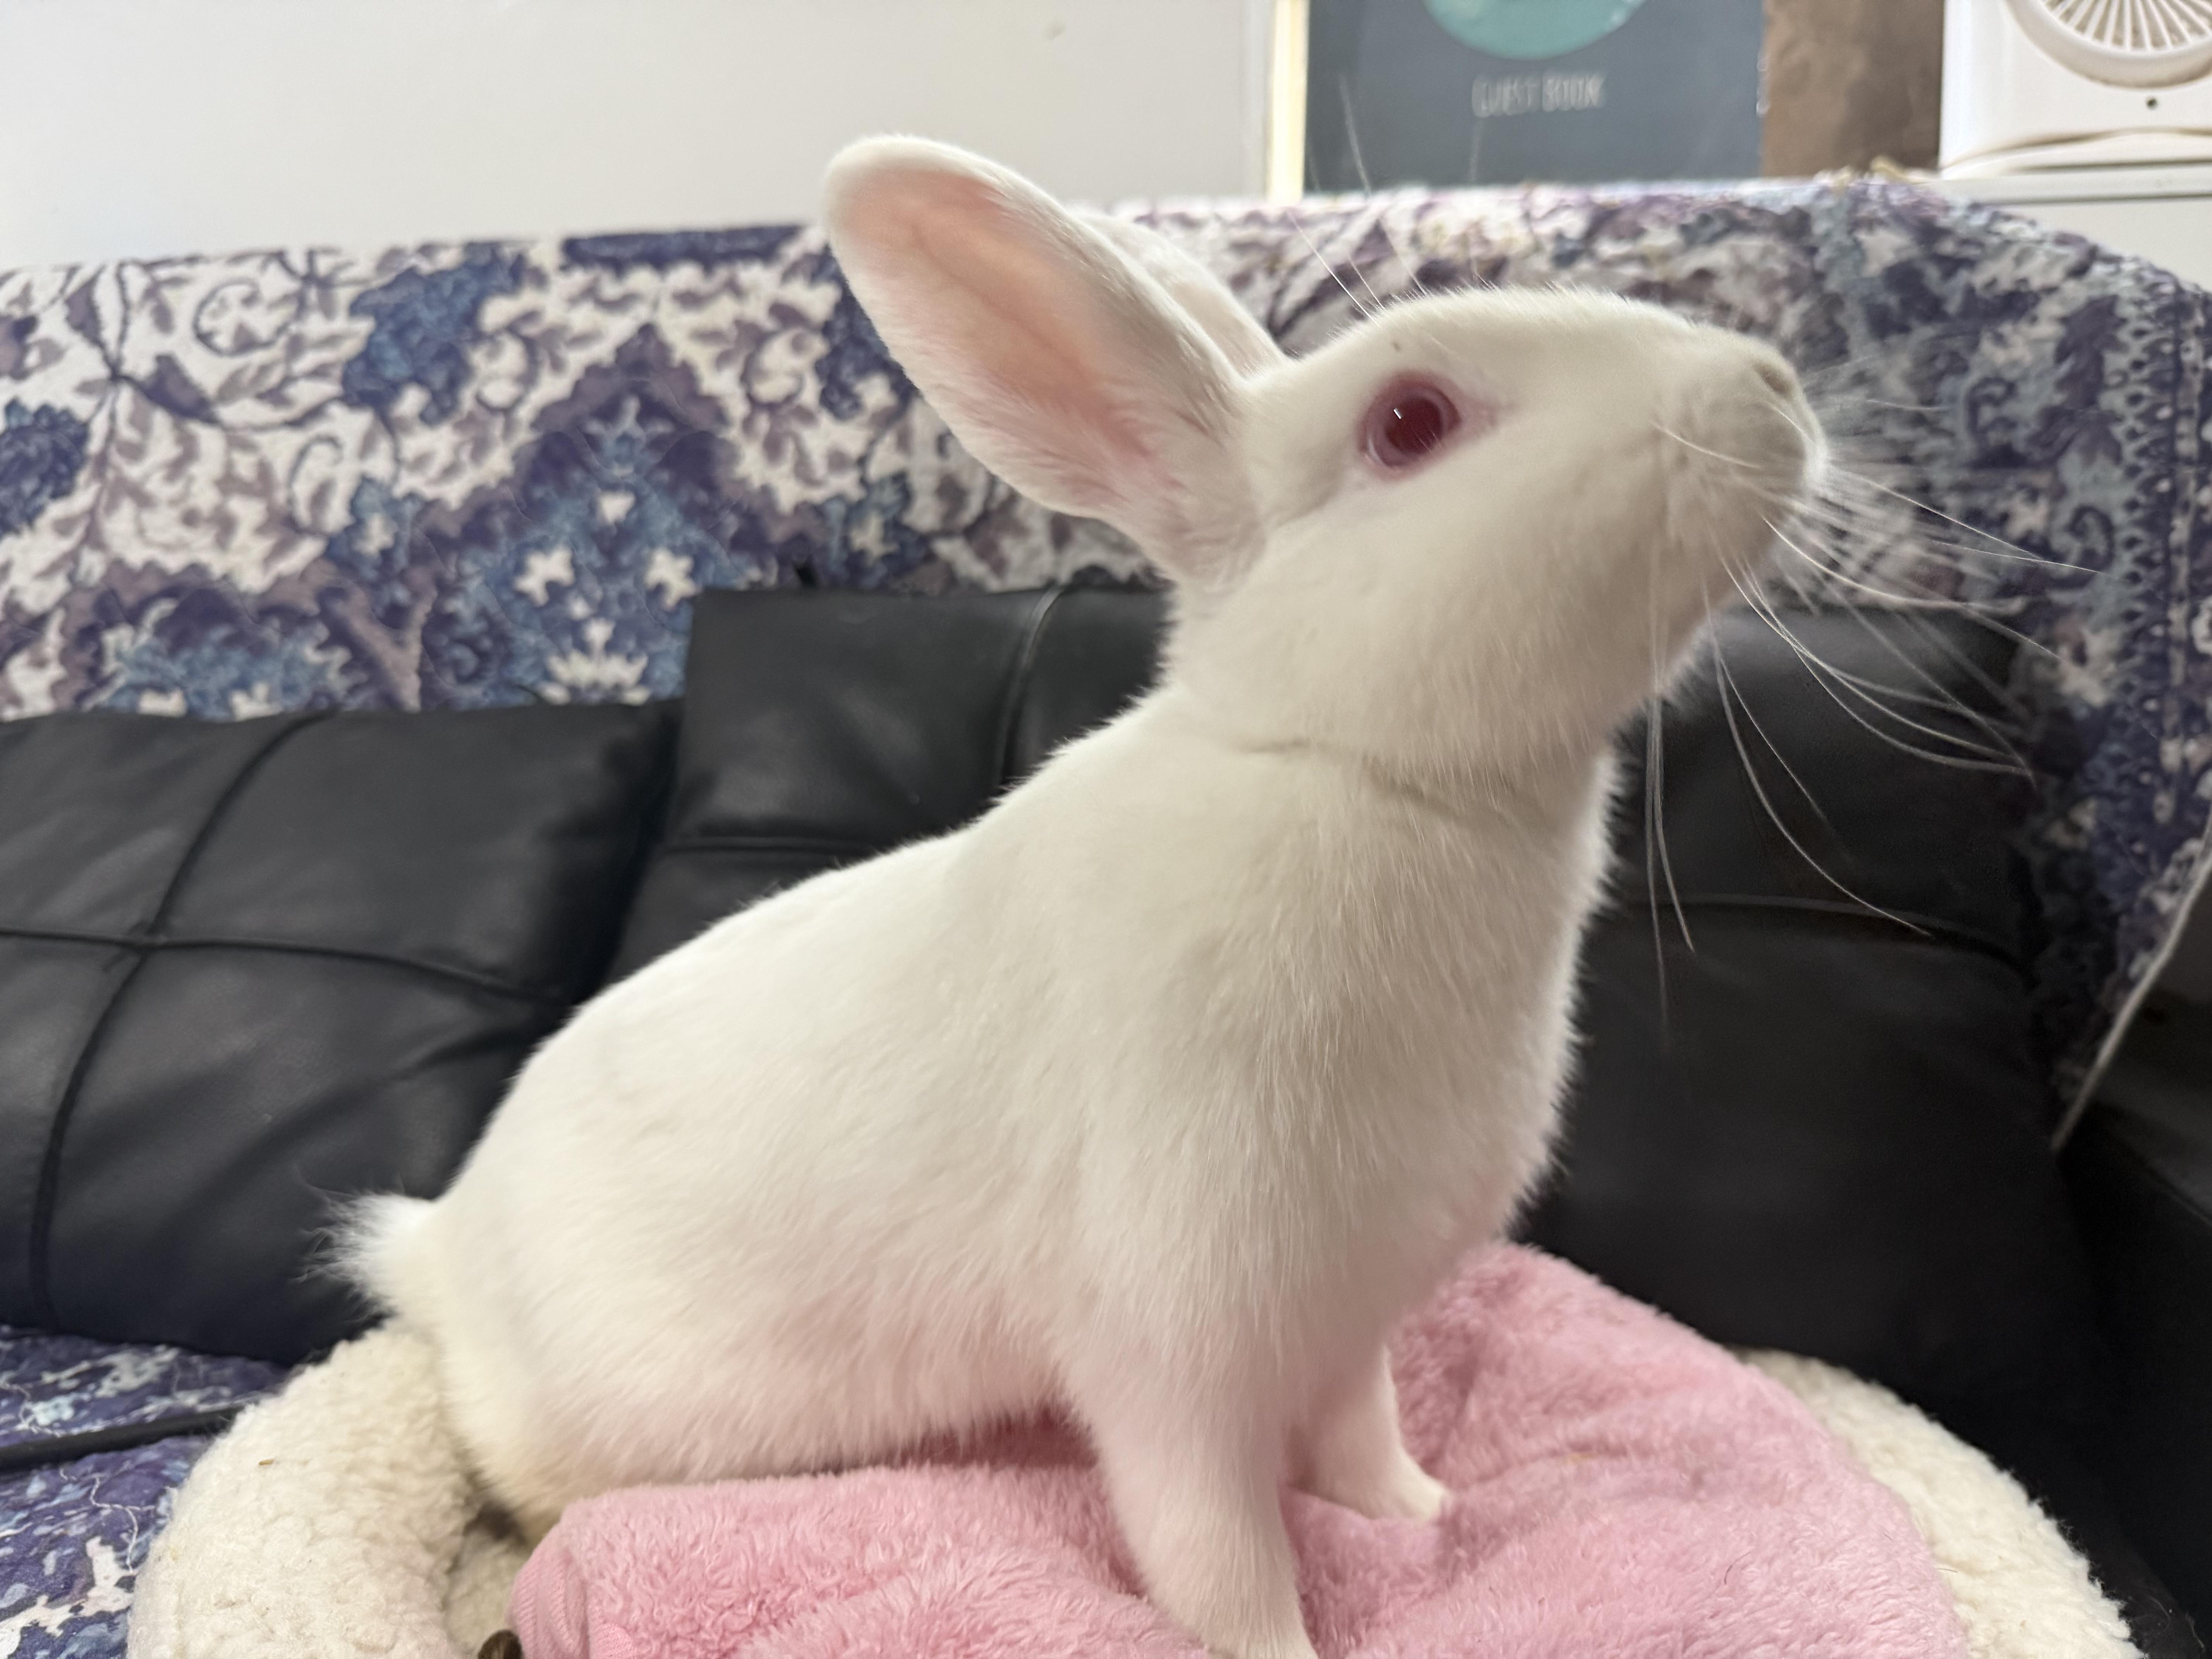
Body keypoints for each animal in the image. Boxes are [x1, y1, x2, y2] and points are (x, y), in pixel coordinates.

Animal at [346, 137, 1821, 1659]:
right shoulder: (1178, 1353)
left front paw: (1421, 1513)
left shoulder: (1347, 1313)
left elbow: (1362, 1434)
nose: (1772, 387)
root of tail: (443, 1250)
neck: (1357, 773)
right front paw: (1279, 1641)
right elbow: (1216, 1552)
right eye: (1410, 422)